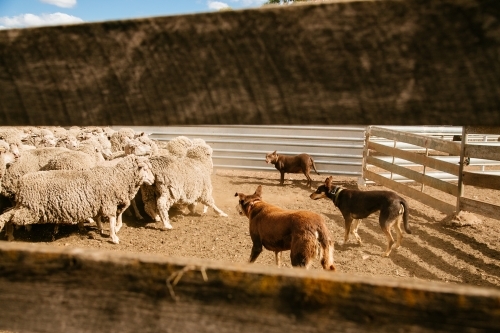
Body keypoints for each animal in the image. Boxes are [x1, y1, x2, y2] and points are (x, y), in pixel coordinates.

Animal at [0, 154, 155, 243]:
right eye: (146, 169)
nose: (153, 180)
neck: (118, 176)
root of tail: (21, 182)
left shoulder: (99, 202)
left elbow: (100, 218)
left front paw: (101, 229)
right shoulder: (108, 202)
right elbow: (111, 221)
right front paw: (114, 237)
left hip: (24, 205)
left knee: (6, 213)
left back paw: (10, 235)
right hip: (31, 209)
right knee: (9, 217)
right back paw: (10, 234)